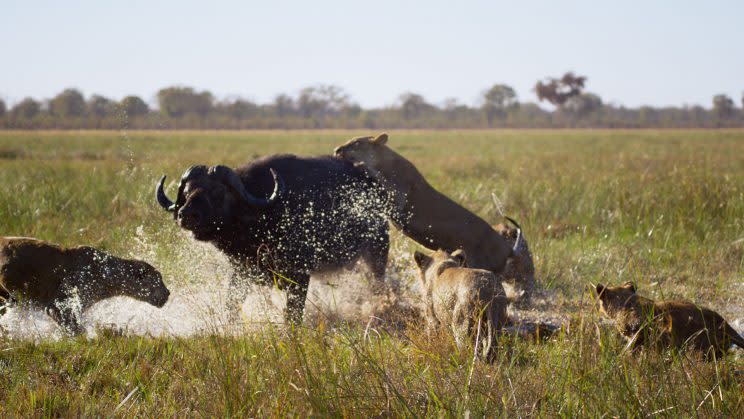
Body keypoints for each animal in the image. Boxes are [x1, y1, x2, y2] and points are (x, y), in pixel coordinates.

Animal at [155, 154, 392, 324]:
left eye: (217, 191)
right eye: (187, 191)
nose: (186, 215)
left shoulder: (299, 276)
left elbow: (293, 314)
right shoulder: (241, 271)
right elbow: (231, 304)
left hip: (377, 255)